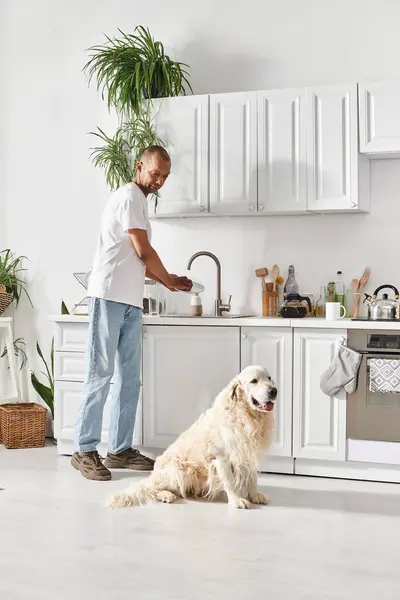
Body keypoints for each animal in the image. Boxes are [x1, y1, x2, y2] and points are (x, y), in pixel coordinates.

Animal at [106, 366, 276, 510]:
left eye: (269, 378)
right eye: (254, 381)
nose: (274, 391)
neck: (247, 416)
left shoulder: (248, 453)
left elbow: (252, 479)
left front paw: (255, 495)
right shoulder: (221, 458)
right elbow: (229, 482)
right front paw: (236, 500)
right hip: (182, 471)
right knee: (152, 489)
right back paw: (166, 495)